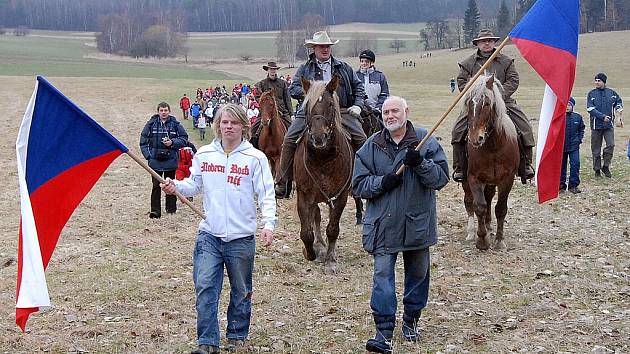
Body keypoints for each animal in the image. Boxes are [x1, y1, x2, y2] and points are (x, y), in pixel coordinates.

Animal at [296, 75, 356, 274]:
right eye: (307, 104)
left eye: (330, 104)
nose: (318, 137)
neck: (323, 159)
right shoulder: (304, 196)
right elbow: (306, 232)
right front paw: (311, 252)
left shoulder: (340, 197)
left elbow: (333, 228)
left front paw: (330, 259)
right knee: (316, 217)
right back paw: (319, 245)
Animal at [462, 74, 520, 252]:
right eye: (469, 103)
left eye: (487, 104)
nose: (475, 138)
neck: (493, 145)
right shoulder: (474, 177)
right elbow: (479, 206)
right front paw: (482, 240)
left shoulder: (507, 179)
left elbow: (500, 208)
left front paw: (499, 240)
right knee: (469, 202)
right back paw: (472, 232)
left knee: (489, 198)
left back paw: (488, 226)